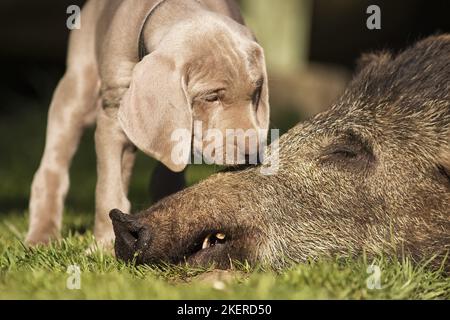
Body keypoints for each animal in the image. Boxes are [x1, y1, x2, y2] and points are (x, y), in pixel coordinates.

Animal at [26, 0, 268, 248]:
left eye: (256, 91)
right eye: (211, 97)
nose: (253, 152)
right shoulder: (113, 115)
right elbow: (108, 189)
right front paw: (104, 245)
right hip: (77, 88)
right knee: (53, 166)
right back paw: (41, 235)